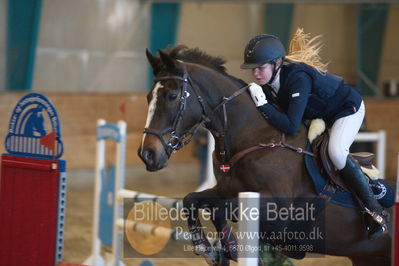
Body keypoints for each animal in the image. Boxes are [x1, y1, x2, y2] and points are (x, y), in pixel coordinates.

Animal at [137, 46, 390, 266]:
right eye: (149, 97)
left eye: (172, 95)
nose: (147, 154)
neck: (251, 137)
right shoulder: (224, 189)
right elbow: (191, 200)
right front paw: (207, 248)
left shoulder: (279, 210)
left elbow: (218, 208)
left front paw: (228, 247)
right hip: (367, 258)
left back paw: (378, 219)